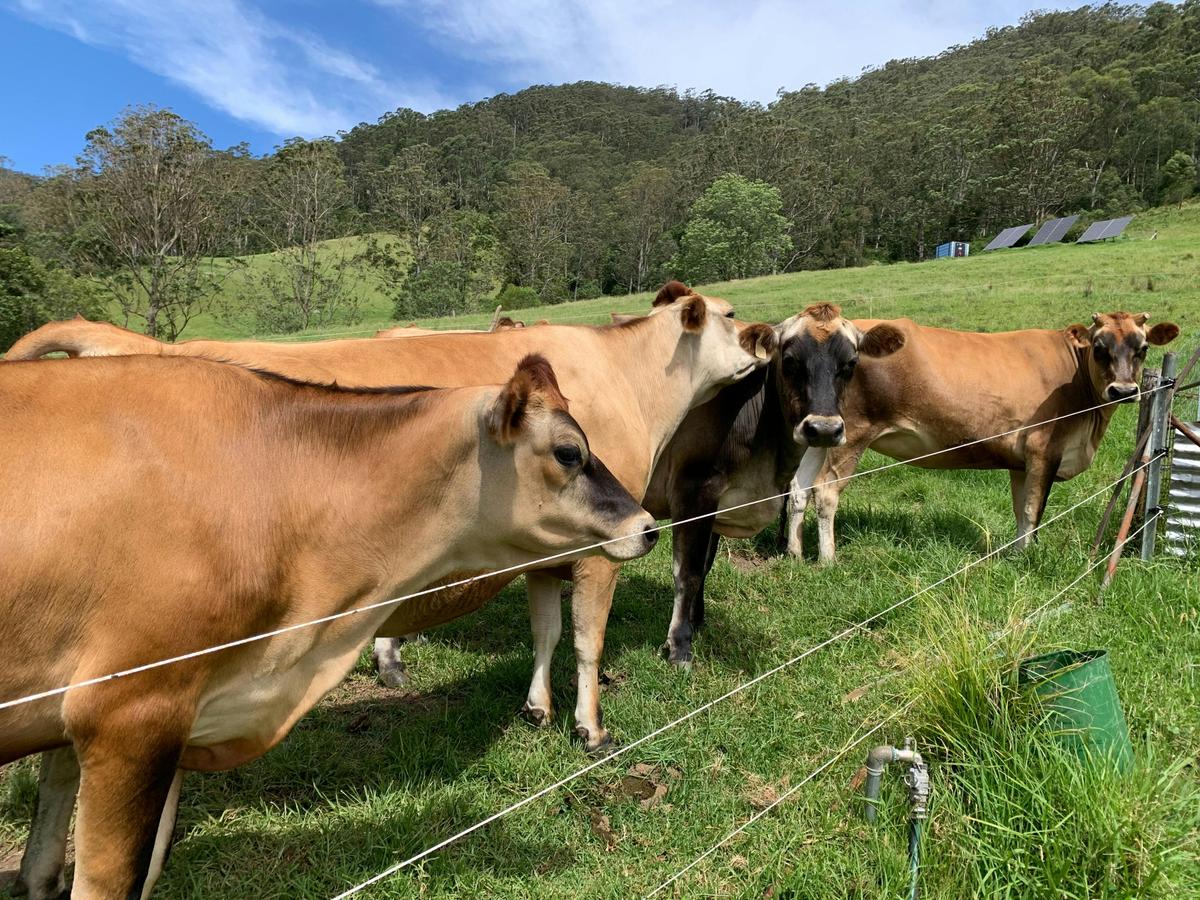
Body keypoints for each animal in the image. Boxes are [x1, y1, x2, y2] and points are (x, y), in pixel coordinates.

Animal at [6, 286, 775, 753]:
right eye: (731, 314)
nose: (764, 338)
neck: (630, 380)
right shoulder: (595, 550)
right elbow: (588, 642)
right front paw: (590, 728)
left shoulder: (542, 548)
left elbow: (547, 633)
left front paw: (538, 709)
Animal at [641, 303, 906, 666]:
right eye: (790, 360)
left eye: (851, 363)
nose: (823, 430)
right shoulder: (693, 492)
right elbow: (688, 572)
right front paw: (680, 647)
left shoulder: (718, 503)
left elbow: (706, 566)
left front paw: (697, 623)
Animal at [783, 311, 1181, 564]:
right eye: (1099, 347)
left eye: (1143, 348)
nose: (1123, 390)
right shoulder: (1044, 449)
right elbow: (1035, 510)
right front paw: (1029, 557)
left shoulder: (1021, 462)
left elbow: (1022, 511)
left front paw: (1018, 555)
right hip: (852, 433)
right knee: (826, 490)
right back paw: (828, 560)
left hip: (823, 432)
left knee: (799, 486)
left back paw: (794, 555)